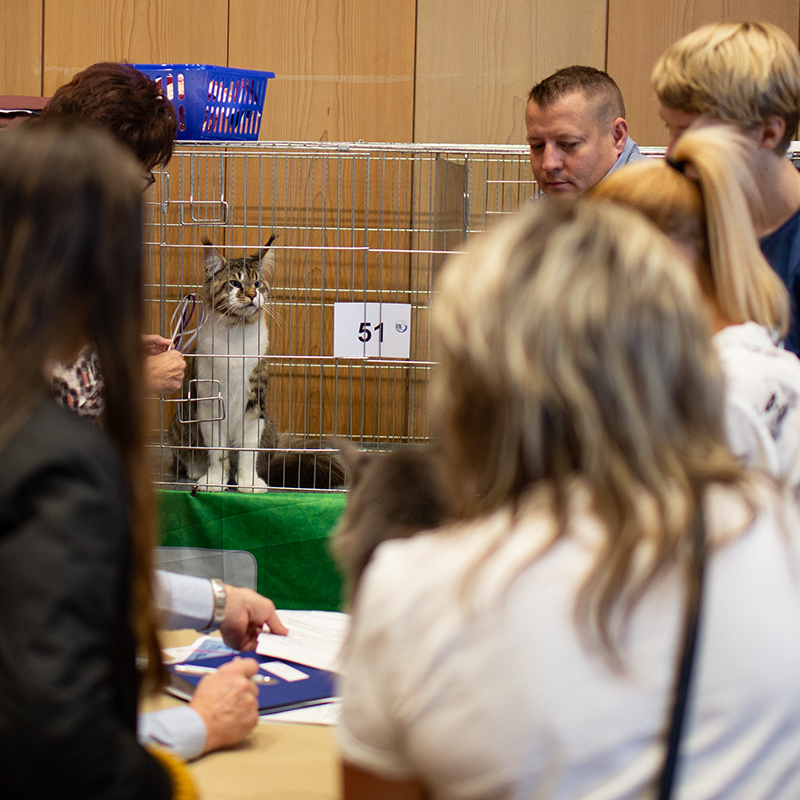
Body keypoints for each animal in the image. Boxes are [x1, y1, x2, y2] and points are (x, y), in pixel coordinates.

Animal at [168, 237, 347, 491]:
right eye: (235, 283)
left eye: (257, 283)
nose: (252, 295)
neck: (237, 334)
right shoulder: (210, 402)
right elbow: (217, 453)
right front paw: (215, 481)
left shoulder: (254, 402)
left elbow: (247, 451)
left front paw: (248, 483)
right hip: (179, 426)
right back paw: (197, 471)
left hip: (269, 426)